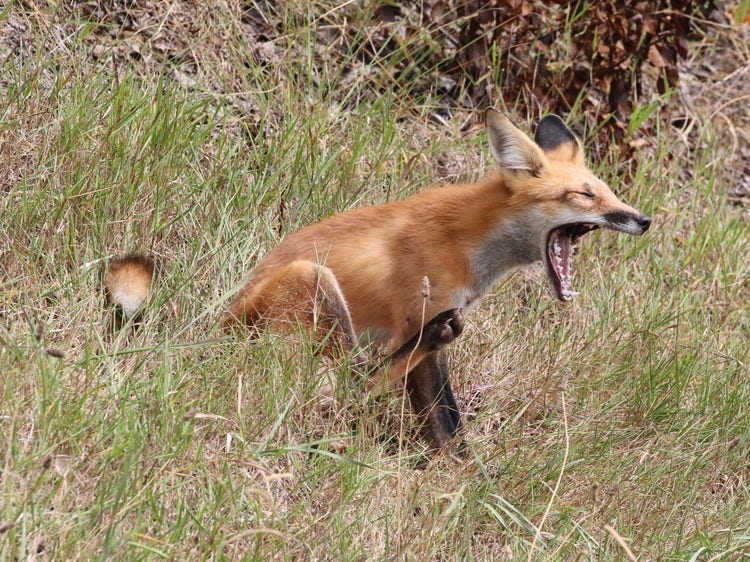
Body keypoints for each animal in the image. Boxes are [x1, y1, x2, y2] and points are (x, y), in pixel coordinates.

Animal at [105, 109, 651, 453]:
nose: (643, 220)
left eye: (609, 192)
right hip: (316, 285)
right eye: (585, 196)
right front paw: (463, 483)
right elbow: (446, 420)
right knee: (343, 391)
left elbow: (446, 426)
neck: (469, 244)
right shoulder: (419, 311)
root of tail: (213, 335)